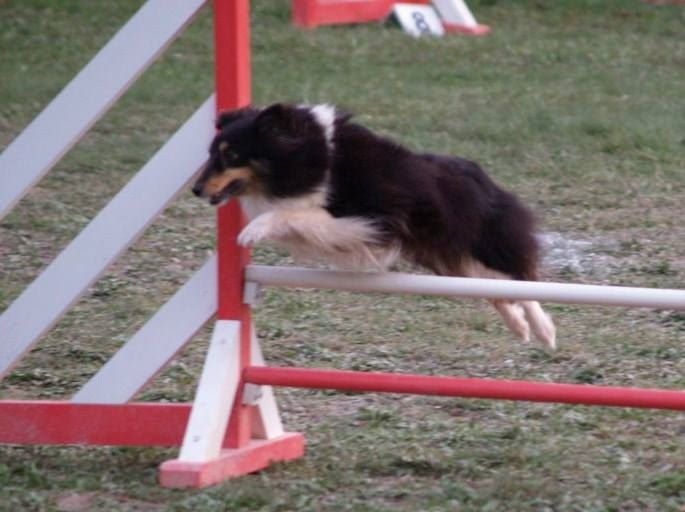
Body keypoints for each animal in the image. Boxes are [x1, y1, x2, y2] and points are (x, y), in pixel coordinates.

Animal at [191, 102, 556, 348]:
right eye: (210, 153)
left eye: (231, 155)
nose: (195, 189)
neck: (311, 157)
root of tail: (481, 174)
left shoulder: (369, 221)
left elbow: (294, 214)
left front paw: (252, 230)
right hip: (449, 256)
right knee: (496, 288)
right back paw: (518, 325)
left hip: (484, 241)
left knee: (523, 279)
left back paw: (543, 330)